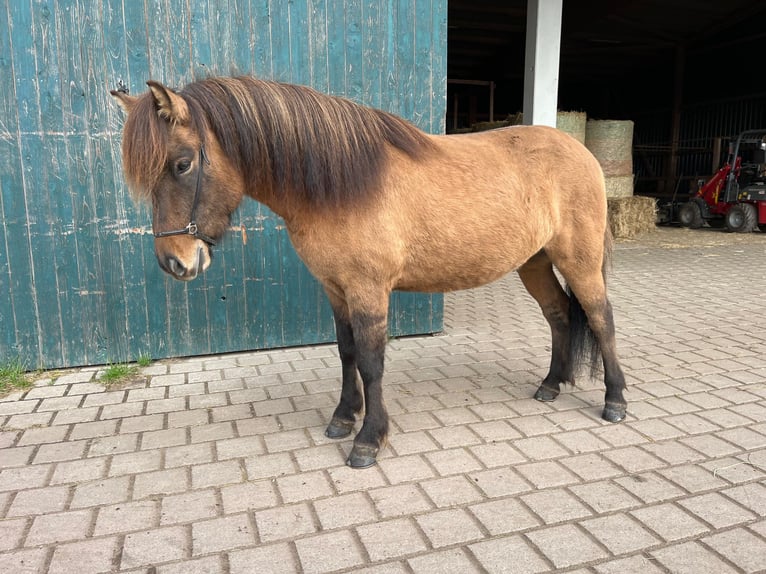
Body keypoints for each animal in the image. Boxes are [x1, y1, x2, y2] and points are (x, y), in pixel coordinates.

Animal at [114, 76, 632, 470]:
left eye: (182, 164)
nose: (174, 261)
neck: (342, 184)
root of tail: (579, 151)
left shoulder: (368, 290)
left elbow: (370, 361)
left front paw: (368, 440)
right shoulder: (335, 288)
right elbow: (346, 353)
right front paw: (344, 418)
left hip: (578, 260)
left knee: (600, 318)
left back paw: (615, 401)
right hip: (535, 262)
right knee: (560, 315)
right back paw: (550, 385)